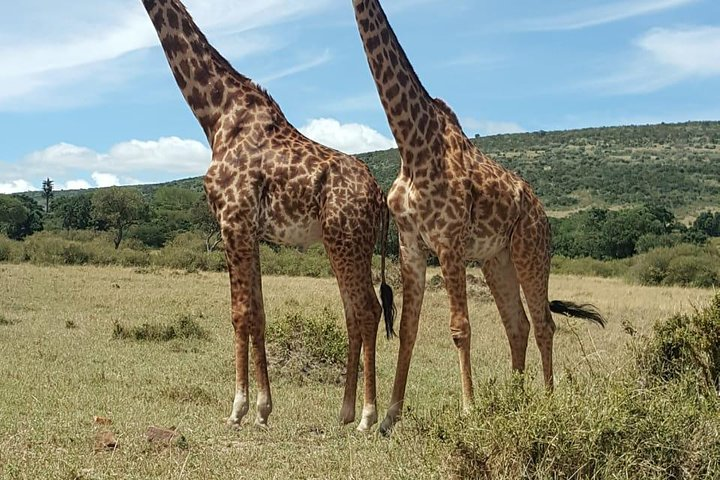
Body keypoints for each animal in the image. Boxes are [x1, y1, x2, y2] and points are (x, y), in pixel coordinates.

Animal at [140, 0, 394, 432]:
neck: (216, 114)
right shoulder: (249, 230)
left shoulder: (233, 220)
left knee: (367, 310)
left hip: (347, 241)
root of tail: (379, 196)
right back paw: (343, 412)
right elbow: (257, 312)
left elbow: (241, 313)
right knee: (353, 314)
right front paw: (262, 408)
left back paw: (366, 416)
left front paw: (239, 408)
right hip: (342, 245)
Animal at [352, 0, 604, 434]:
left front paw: (469, 410)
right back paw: (517, 403)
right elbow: (408, 329)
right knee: (517, 324)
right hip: (495, 259)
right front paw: (389, 416)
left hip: (531, 250)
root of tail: (540, 209)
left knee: (544, 323)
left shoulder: (449, 241)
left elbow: (459, 328)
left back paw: (547, 403)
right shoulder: (411, 244)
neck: (412, 146)